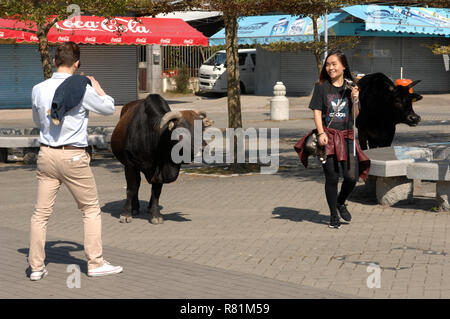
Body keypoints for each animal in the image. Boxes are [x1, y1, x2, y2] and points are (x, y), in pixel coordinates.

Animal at [110, 94, 213, 225]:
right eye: (181, 131)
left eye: (203, 128)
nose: (204, 148)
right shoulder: (130, 165)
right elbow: (131, 189)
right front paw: (126, 214)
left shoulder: (161, 171)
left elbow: (156, 192)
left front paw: (155, 214)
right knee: (137, 185)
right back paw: (135, 207)